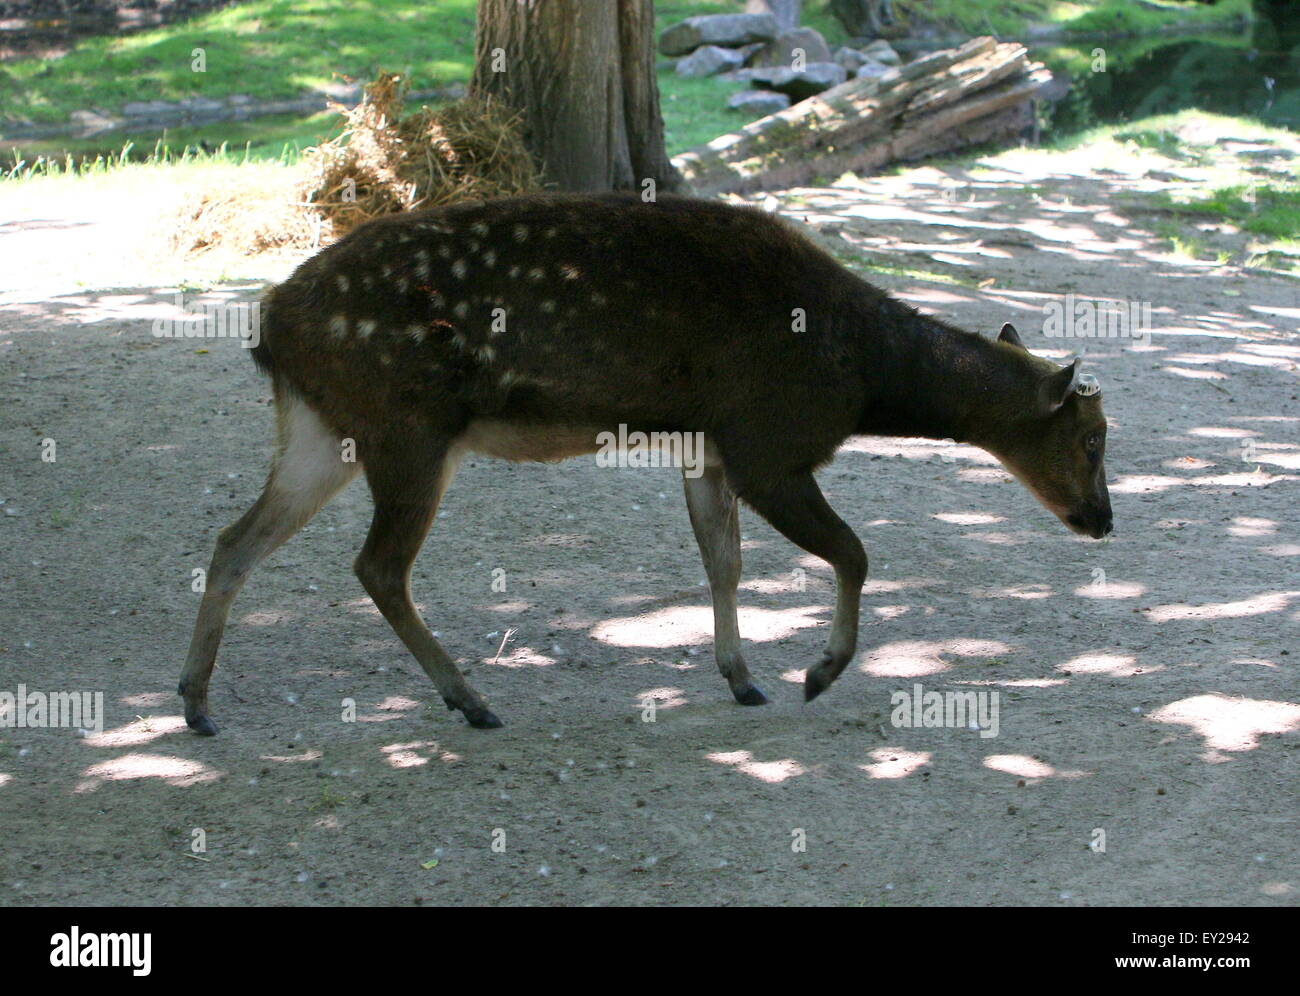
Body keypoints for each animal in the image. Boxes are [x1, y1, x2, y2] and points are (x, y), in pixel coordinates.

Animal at [172, 192, 1112, 733]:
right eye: (1093, 438)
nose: (1102, 519)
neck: (864, 378)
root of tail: (269, 326)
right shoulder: (769, 441)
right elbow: (854, 551)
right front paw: (815, 673)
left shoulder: (708, 446)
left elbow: (723, 562)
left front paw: (744, 679)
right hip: (409, 427)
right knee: (376, 565)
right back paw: (471, 700)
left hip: (326, 429)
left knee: (234, 540)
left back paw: (197, 703)